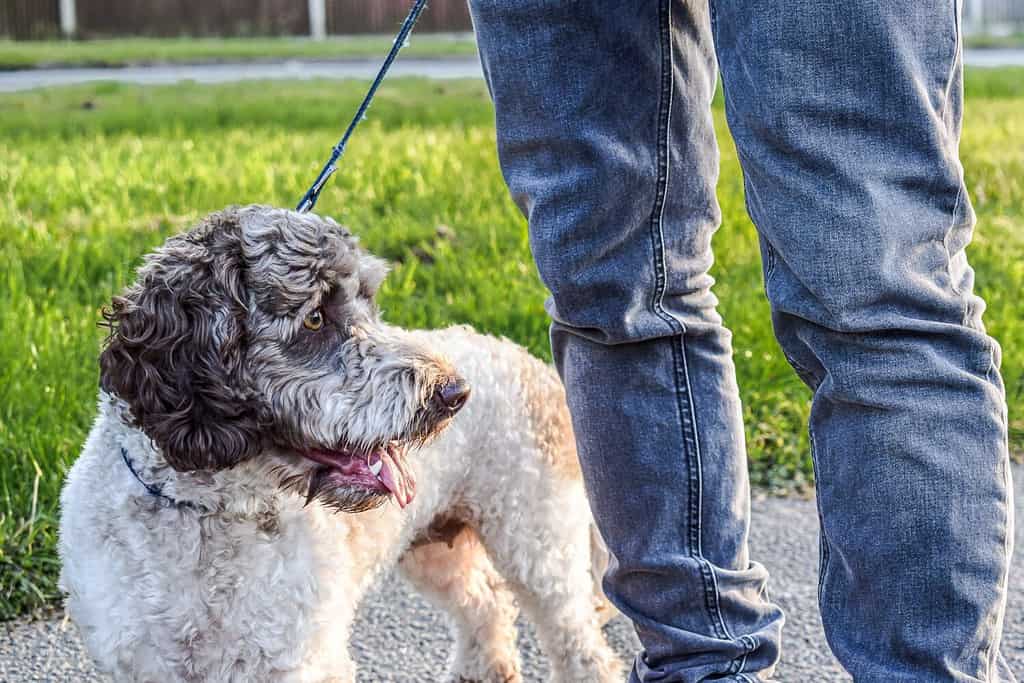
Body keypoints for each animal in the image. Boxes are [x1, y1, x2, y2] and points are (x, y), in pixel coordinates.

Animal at [59, 206, 618, 683]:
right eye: (313, 318)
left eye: (369, 302)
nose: (454, 394)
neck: (206, 513)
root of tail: (532, 363)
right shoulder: (138, 658)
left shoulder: (296, 658)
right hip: (435, 542)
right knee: (485, 601)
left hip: (537, 539)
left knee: (578, 644)